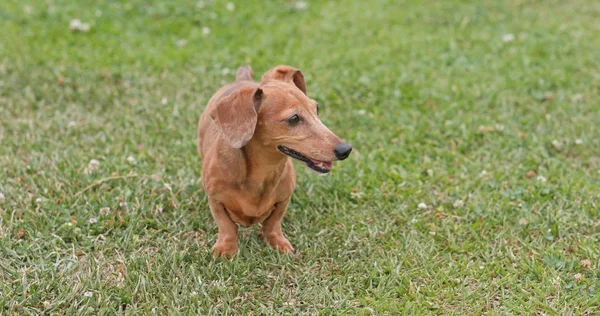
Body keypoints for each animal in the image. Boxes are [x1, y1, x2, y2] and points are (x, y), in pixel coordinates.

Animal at [199, 65, 352, 256]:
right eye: (293, 119)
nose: (345, 150)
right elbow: (226, 226)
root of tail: (242, 79)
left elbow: (273, 223)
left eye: (316, 109)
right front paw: (225, 249)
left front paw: (277, 242)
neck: (263, 172)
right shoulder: (216, 200)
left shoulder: (283, 199)